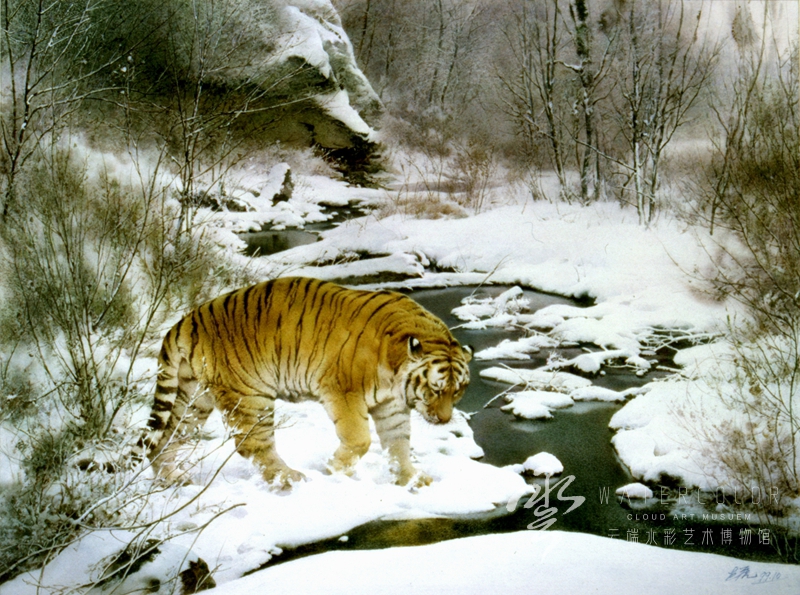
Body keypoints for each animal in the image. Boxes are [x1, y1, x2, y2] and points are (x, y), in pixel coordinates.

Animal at [140, 274, 472, 488]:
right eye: (435, 389)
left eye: (458, 392)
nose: (444, 420)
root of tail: (188, 319)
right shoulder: (343, 392)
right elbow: (359, 440)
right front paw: (334, 470)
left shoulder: (392, 406)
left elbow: (398, 443)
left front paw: (410, 478)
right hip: (250, 395)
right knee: (254, 445)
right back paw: (289, 478)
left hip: (193, 399)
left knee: (167, 437)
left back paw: (170, 479)